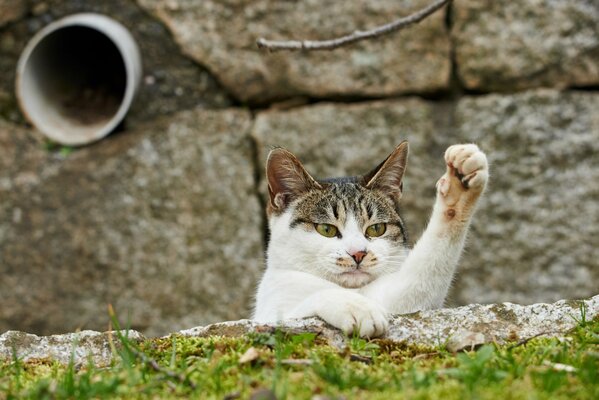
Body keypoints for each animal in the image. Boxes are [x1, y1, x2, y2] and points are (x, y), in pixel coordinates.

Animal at [253, 141, 488, 338]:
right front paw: (357, 307)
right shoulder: (270, 306)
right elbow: (298, 307)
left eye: (376, 229)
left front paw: (459, 184)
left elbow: (422, 279)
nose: (358, 253)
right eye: (326, 229)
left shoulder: (400, 301)